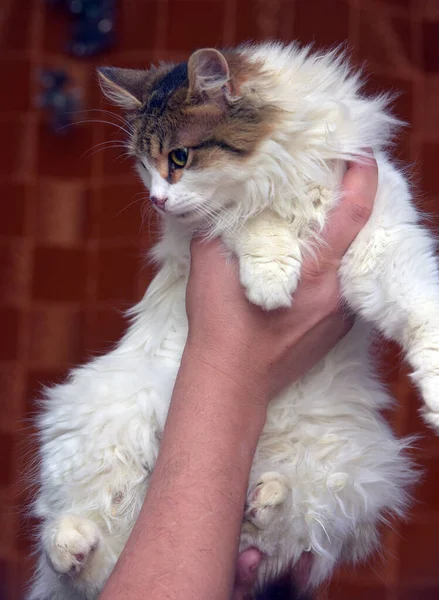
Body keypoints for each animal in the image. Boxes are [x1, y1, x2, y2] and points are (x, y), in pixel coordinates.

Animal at [27, 43, 436, 600]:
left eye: (179, 158)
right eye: (144, 165)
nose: (157, 199)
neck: (286, 170)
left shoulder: (381, 243)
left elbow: (420, 310)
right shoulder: (211, 227)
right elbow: (250, 219)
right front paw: (272, 281)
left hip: (348, 475)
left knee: (278, 535)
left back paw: (265, 497)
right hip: (101, 422)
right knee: (85, 554)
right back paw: (71, 543)